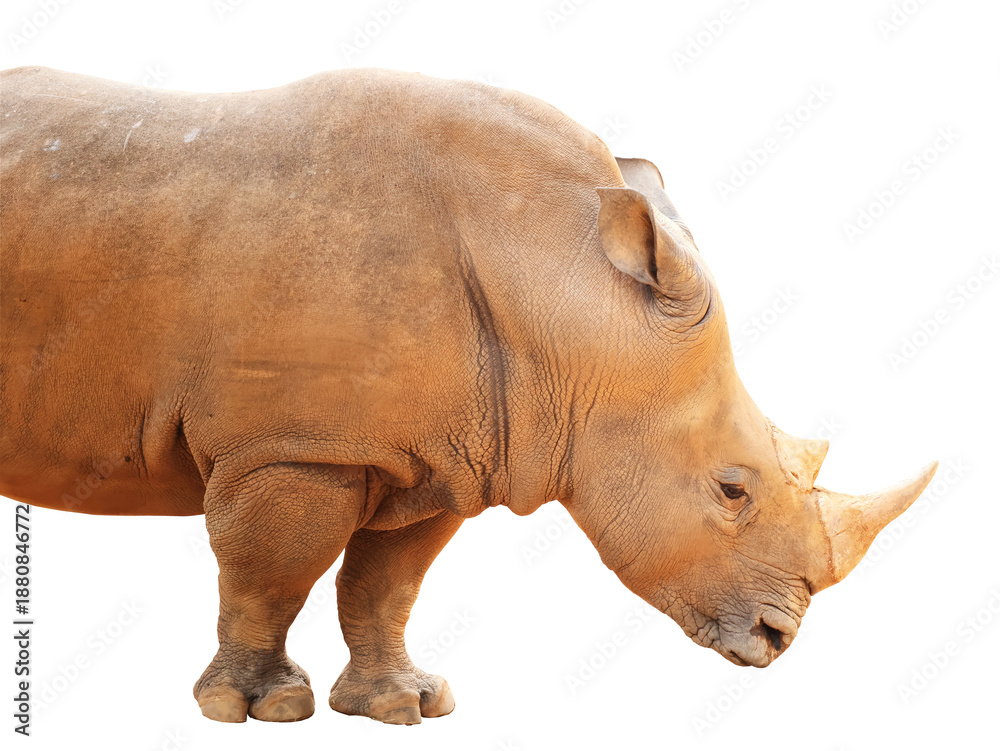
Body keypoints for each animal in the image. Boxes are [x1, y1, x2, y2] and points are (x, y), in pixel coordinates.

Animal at [0, 66, 936, 725]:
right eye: (732, 489)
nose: (780, 639)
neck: (565, 289)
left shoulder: (445, 449)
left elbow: (386, 581)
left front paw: (402, 704)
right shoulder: (293, 446)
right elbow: (270, 570)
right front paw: (257, 709)